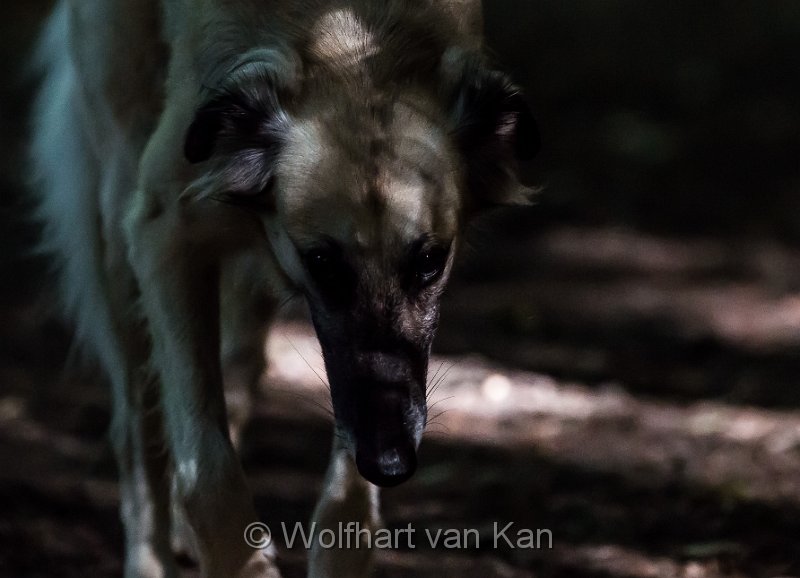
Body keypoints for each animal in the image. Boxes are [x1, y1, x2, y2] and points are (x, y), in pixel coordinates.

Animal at [29, 2, 536, 572]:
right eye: (322, 262)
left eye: (430, 260)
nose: (389, 461)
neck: (354, 41)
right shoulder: (165, 235)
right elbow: (207, 473)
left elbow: (346, 499)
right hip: (120, 219)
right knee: (139, 422)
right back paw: (149, 559)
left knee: (237, 365)